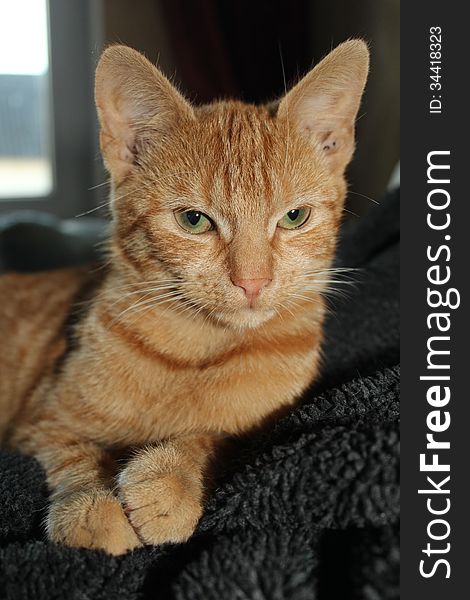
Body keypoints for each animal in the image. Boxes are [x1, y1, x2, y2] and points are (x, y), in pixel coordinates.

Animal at [0, 41, 368, 552]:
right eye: (194, 221)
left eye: (294, 217)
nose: (252, 282)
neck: (197, 350)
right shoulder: (41, 423)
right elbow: (75, 454)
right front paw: (90, 506)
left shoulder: (258, 429)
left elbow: (214, 437)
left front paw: (169, 477)